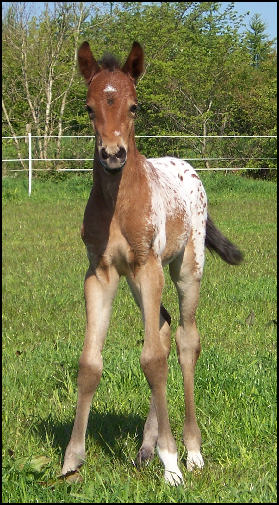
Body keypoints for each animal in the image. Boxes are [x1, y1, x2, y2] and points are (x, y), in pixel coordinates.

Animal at [61, 40, 243, 484]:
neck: (119, 204)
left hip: (185, 268)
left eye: (134, 106)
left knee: (184, 340)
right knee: (160, 327)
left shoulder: (149, 268)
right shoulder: (101, 273)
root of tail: (189, 167)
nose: (113, 155)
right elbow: (90, 363)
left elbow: (153, 359)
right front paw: (72, 460)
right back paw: (147, 447)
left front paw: (172, 461)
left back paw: (192, 450)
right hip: (137, 279)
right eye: (89, 107)